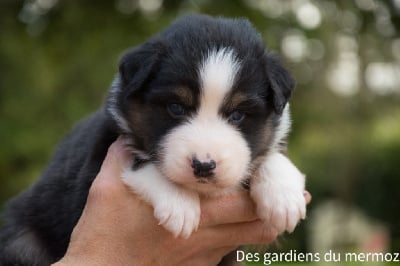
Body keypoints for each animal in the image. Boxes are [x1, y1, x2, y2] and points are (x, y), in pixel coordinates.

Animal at [0, 15, 306, 266]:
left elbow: (272, 154)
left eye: (238, 115)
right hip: (23, 242)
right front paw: (180, 205)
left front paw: (284, 197)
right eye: (175, 107)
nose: (203, 166)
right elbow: (141, 161)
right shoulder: (91, 171)